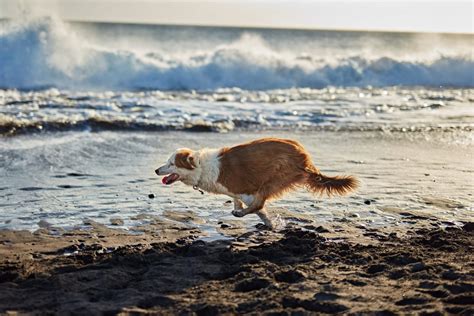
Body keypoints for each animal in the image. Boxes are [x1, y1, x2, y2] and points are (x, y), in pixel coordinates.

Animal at [156, 137, 360, 228]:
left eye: (171, 163)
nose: (156, 170)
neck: (201, 166)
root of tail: (305, 157)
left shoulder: (247, 191)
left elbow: (258, 207)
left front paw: (267, 222)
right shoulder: (235, 192)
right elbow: (240, 202)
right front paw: (270, 224)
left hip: (275, 178)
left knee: (260, 202)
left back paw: (242, 215)